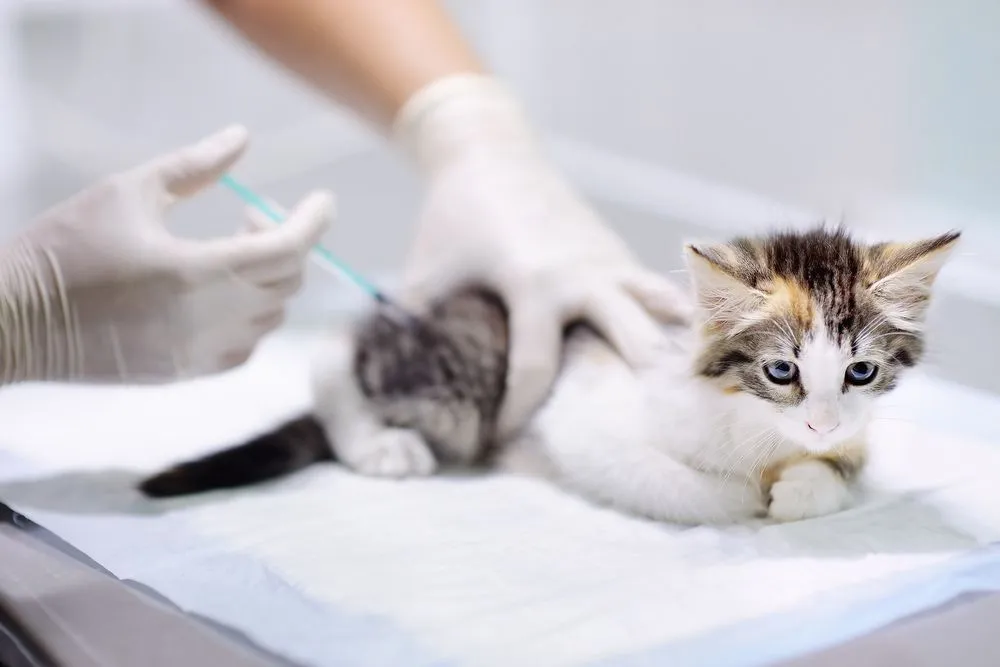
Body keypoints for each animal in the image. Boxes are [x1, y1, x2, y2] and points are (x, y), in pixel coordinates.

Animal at [141, 228, 960, 528]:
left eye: (860, 371)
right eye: (781, 370)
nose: (822, 421)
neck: (754, 426)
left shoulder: (856, 432)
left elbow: (847, 470)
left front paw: (806, 486)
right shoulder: (585, 411)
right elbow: (694, 488)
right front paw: (750, 496)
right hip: (472, 369)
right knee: (338, 350)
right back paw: (379, 442)